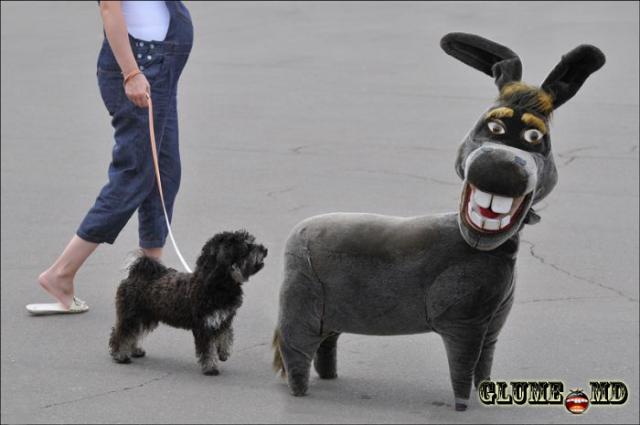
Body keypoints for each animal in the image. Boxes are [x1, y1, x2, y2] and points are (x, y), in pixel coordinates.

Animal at [109, 230, 267, 375]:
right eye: (246, 246)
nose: (265, 250)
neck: (213, 283)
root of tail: (135, 274)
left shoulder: (224, 320)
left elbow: (225, 337)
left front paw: (223, 353)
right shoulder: (204, 326)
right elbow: (208, 349)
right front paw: (211, 367)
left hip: (145, 316)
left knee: (134, 333)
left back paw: (134, 350)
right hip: (131, 315)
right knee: (122, 333)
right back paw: (120, 355)